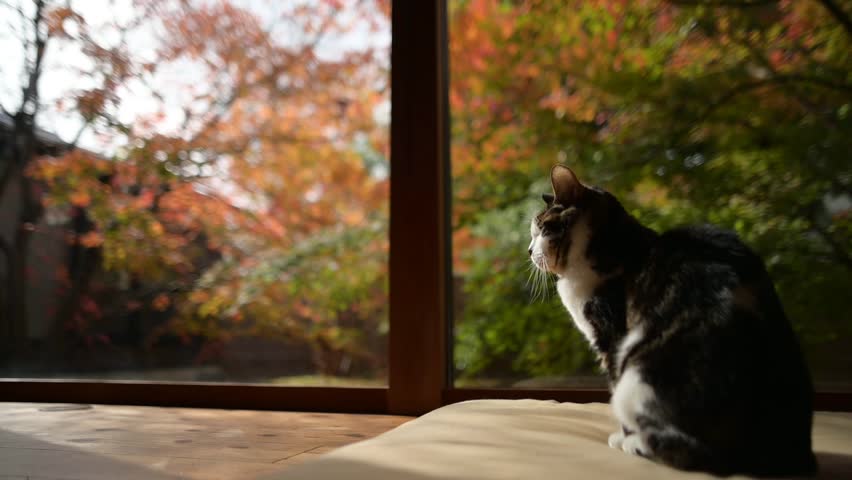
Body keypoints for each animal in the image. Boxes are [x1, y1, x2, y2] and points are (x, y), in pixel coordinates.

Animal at [528, 165, 816, 476]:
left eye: (541, 228)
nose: (529, 251)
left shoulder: (612, 338)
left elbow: (614, 383)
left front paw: (623, 436)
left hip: (639, 378)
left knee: (699, 455)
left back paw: (636, 444)